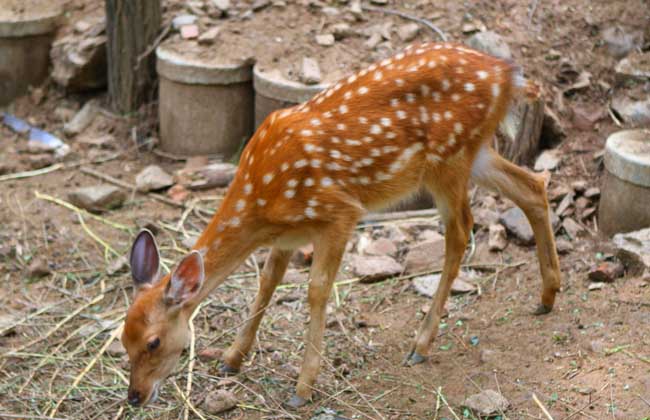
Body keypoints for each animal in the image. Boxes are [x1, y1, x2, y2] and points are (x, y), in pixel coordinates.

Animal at [124, 41, 560, 406]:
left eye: (153, 342)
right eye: (123, 339)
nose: (135, 397)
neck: (259, 201)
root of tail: (507, 74)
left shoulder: (339, 212)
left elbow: (317, 290)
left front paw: (303, 388)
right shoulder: (287, 234)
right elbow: (267, 281)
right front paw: (232, 358)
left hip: (448, 160)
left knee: (461, 231)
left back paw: (421, 345)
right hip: (475, 151)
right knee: (533, 187)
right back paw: (547, 296)